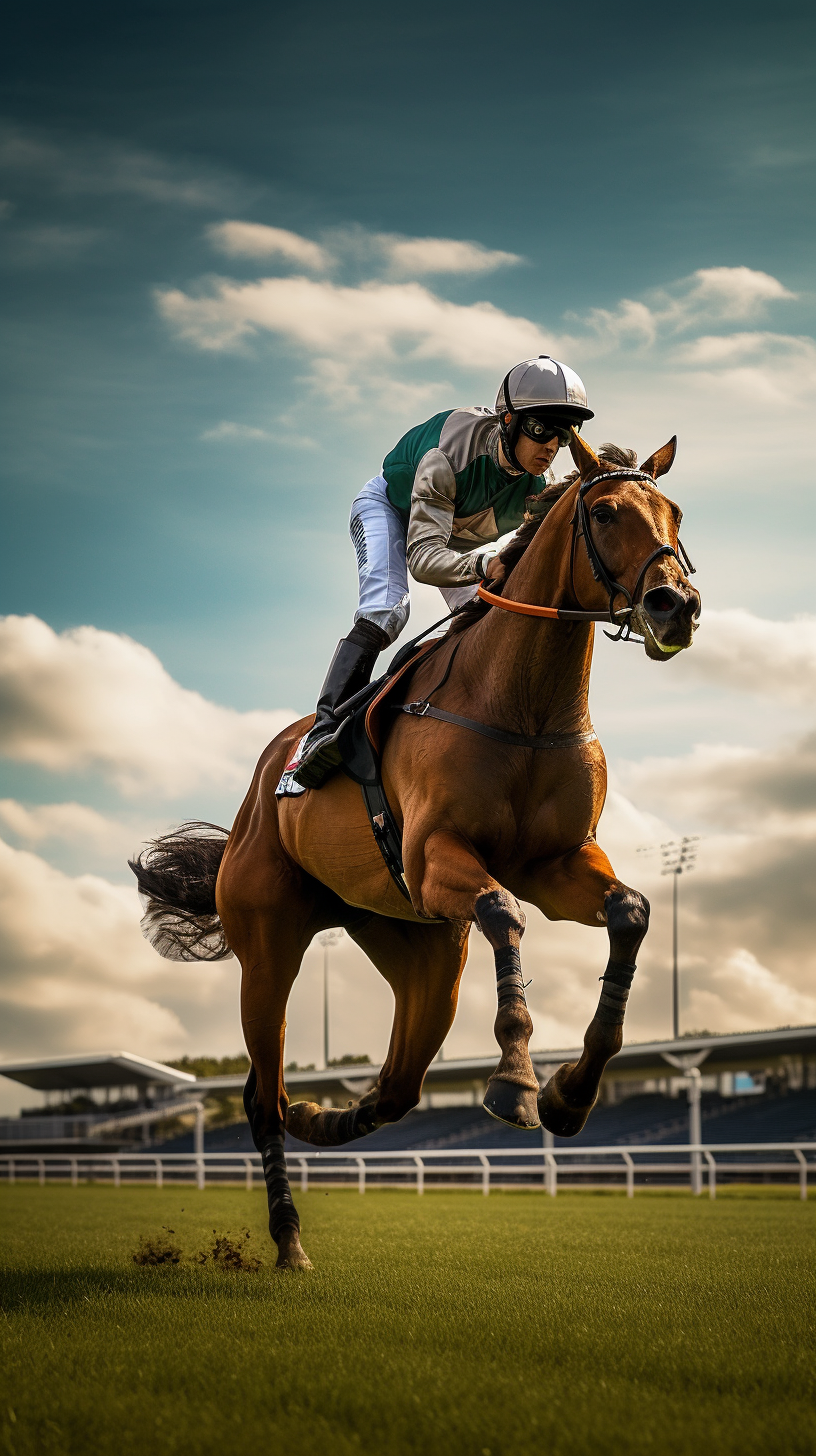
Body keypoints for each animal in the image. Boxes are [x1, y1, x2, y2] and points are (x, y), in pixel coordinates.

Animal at [132, 428, 702, 1263]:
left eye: (675, 513)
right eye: (603, 513)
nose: (675, 605)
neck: (521, 702)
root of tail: (258, 793)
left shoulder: (557, 864)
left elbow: (629, 912)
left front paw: (570, 1091)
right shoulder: (437, 862)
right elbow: (502, 912)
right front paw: (516, 1081)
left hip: (419, 950)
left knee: (396, 1086)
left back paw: (324, 1116)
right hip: (269, 946)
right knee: (264, 1094)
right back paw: (289, 1238)